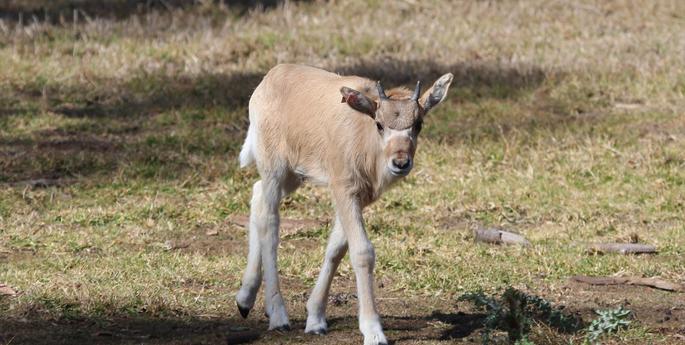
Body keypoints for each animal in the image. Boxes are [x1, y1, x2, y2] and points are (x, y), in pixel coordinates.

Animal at [236, 63, 454, 342]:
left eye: (419, 124)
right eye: (379, 124)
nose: (400, 162)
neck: (363, 133)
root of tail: (271, 77)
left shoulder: (359, 197)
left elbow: (336, 248)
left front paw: (315, 318)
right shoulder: (344, 189)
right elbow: (362, 251)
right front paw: (373, 330)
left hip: (293, 175)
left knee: (257, 195)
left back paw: (245, 299)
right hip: (274, 167)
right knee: (270, 222)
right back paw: (278, 315)